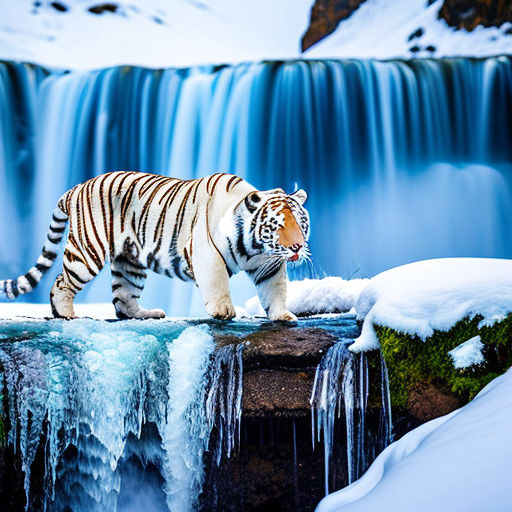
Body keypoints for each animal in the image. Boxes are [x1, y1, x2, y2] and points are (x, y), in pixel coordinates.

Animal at [0, 174, 308, 322]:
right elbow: (218, 282)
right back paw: (65, 313)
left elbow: (275, 289)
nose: (298, 246)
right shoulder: (206, 253)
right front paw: (223, 311)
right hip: (88, 253)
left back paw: (148, 314)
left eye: (301, 223)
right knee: (61, 282)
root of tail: (74, 188)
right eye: (278, 224)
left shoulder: (269, 265)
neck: (254, 248)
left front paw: (282, 316)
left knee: (123, 299)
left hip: (130, 262)